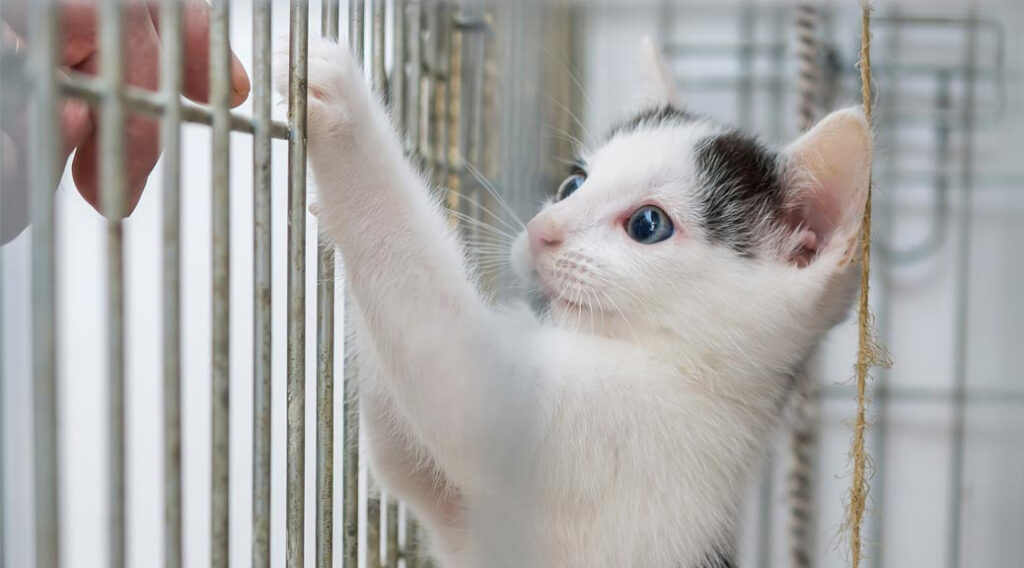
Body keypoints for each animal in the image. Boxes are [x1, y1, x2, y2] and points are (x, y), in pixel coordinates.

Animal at [274, 36, 872, 568]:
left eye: (648, 224)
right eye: (573, 184)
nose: (542, 231)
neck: (683, 374)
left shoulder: (632, 438)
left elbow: (443, 351)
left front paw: (344, 103)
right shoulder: (452, 513)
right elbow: (400, 458)